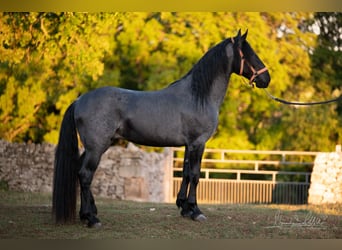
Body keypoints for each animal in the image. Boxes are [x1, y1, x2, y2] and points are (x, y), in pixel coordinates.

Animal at [52, 29, 270, 227]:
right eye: (250, 54)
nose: (266, 78)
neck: (197, 96)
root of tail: (79, 100)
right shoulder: (198, 143)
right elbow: (195, 175)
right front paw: (196, 211)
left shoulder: (188, 145)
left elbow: (185, 173)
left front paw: (184, 208)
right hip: (96, 148)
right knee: (85, 175)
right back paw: (92, 218)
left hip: (93, 148)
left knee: (79, 172)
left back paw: (86, 214)